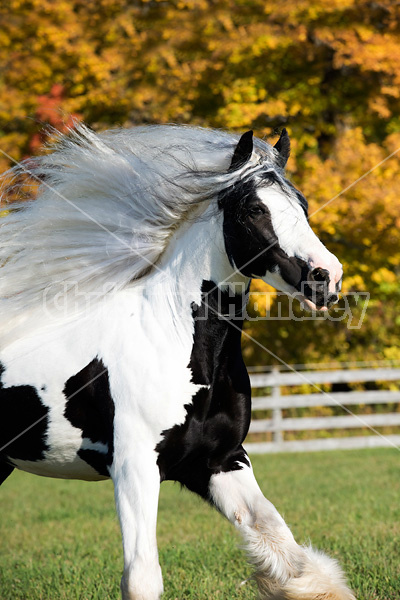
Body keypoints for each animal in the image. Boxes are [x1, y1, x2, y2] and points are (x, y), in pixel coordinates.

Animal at [0, 124, 356, 596]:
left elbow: (288, 552)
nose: (326, 278)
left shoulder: (220, 462)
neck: (171, 343)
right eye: (254, 209)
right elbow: (142, 578)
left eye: (302, 204)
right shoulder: (135, 467)